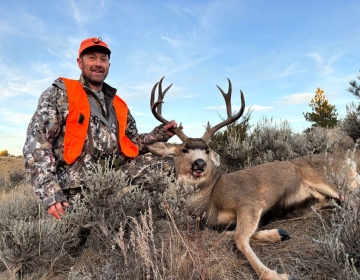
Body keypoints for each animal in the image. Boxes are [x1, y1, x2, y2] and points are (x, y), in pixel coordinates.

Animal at [146, 76, 360, 280]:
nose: (199, 163)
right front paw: (279, 233)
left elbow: (239, 238)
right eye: (184, 149)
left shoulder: (249, 202)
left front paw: (277, 275)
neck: (211, 198)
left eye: (206, 150)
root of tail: (349, 161)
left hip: (333, 182)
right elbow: (225, 234)